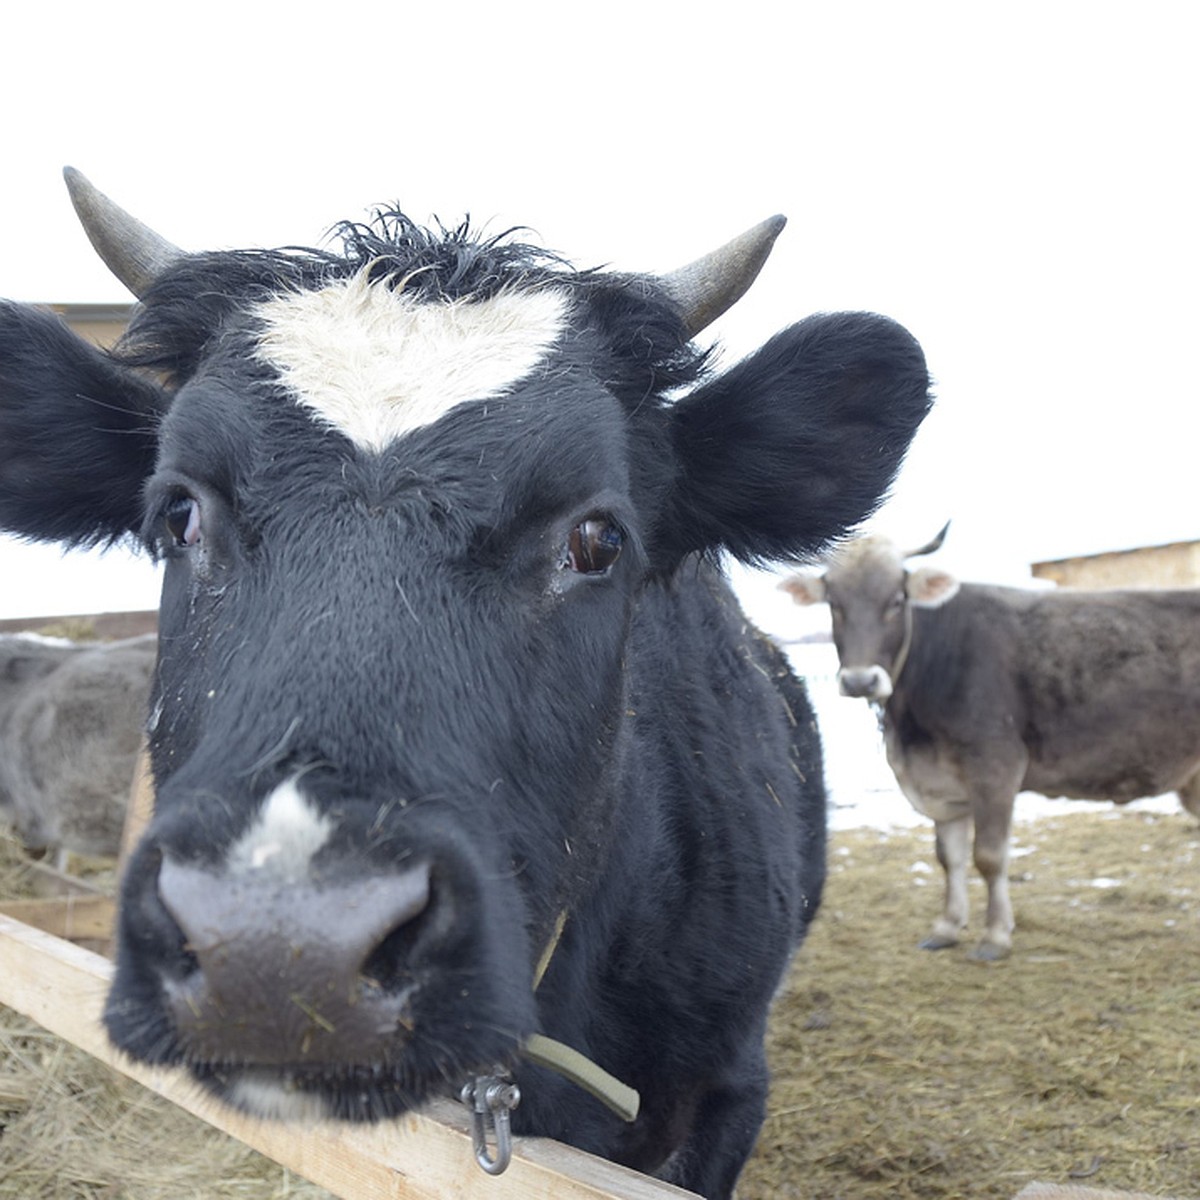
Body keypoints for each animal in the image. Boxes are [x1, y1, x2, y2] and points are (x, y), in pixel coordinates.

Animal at [782, 530, 1200, 960]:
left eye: (896, 600)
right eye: (834, 603)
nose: (860, 681)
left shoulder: (996, 766)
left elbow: (989, 857)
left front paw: (995, 936)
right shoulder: (942, 786)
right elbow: (949, 858)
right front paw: (947, 927)